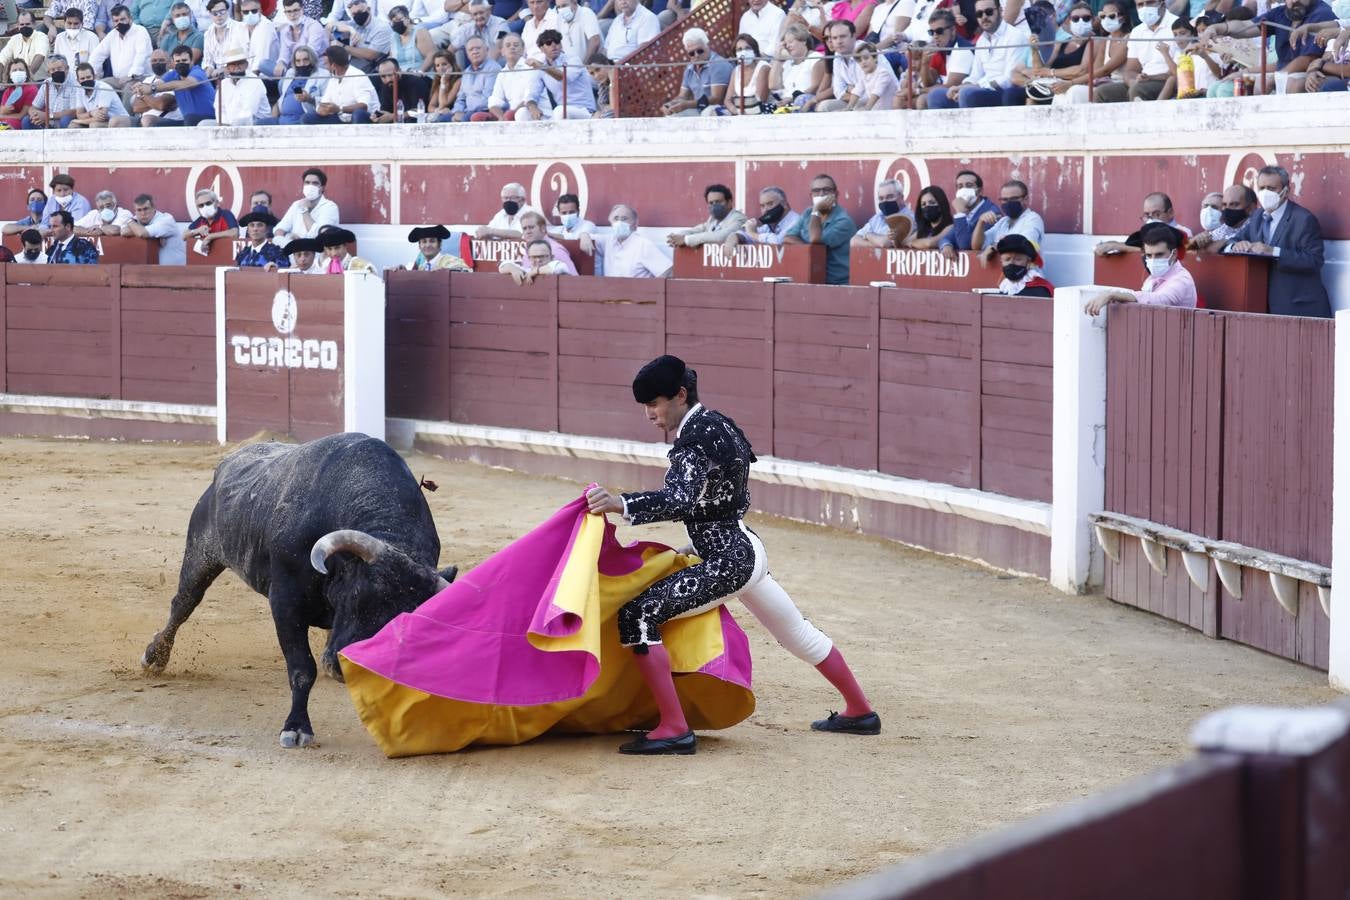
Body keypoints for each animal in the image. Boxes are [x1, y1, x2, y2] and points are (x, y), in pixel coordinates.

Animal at [140, 431, 459, 750]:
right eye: (356, 596)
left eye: (402, 626)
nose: (342, 667)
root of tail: (227, 465)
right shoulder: (285, 603)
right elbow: (302, 669)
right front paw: (295, 728)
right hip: (201, 553)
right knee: (183, 603)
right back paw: (155, 656)